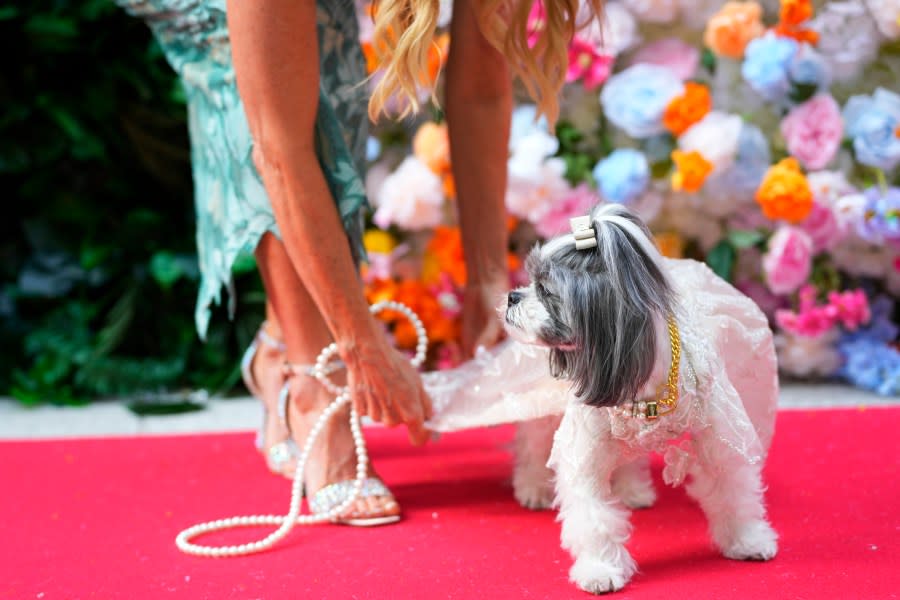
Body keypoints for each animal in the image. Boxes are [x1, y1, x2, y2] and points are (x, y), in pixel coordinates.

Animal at [502, 204, 776, 592]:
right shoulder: (585, 441)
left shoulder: (719, 430)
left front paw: (746, 539)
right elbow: (593, 514)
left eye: (545, 290)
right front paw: (601, 569)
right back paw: (532, 486)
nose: (514, 295)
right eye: (531, 282)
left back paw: (632, 489)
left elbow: (732, 485)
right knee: (533, 440)